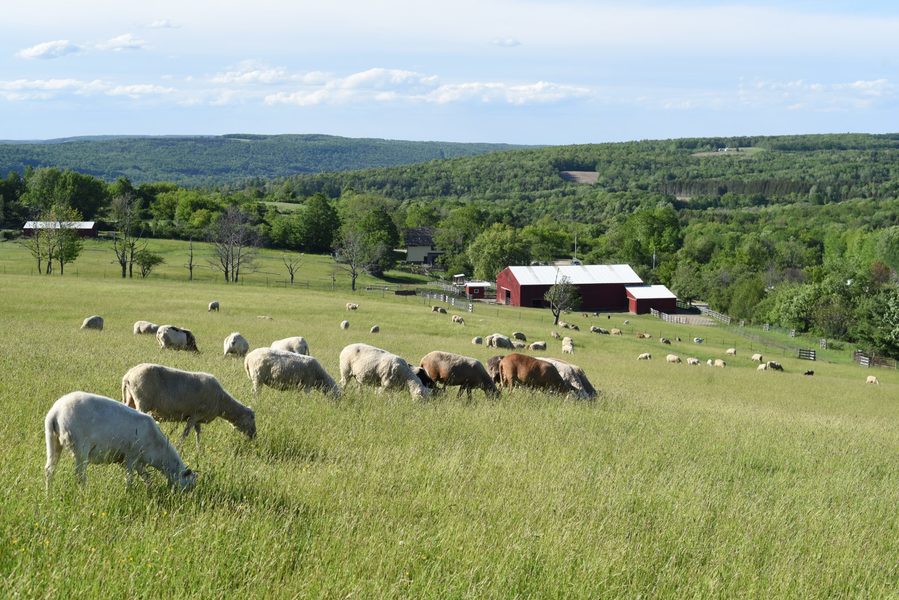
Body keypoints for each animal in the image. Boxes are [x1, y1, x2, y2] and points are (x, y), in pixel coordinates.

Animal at [44, 391, 196, 491]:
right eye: (189, 485)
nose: (187, 498)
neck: (158, 449)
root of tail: (55, 412)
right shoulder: (131, 457)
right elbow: (130, 478)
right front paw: (129, 492)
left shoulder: (137, 461)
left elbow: (147, 477)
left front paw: (150, 490)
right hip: (80, 447)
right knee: (80, 475)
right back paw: (83, 493)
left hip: (53, 440)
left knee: (49, 470)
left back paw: (48, 493)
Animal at [121, 363, 255, 449]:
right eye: (252, 418)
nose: (254, 436)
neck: (221, 402)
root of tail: (128, 375)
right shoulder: (195, 415)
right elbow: (186, 433)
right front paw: (178, 447)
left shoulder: (198, 419)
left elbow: (198, 433)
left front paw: (199, 450)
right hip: (142, 402)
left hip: (130, 399)